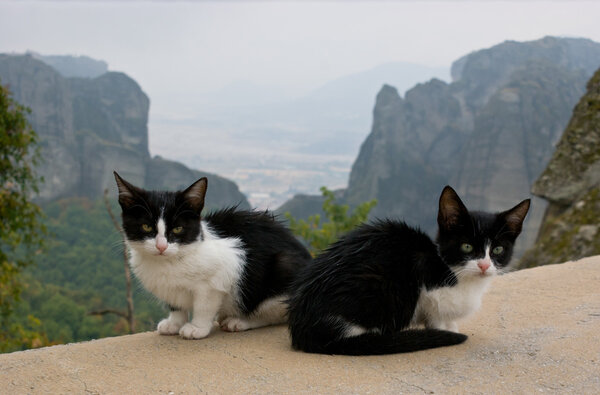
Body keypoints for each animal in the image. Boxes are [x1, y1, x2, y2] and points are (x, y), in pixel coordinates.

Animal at [113, 173, 312, 340]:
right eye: (146, 226)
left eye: (178, 228)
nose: (161, 246)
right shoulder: (170, 289)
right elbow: (176, 303)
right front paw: (174, 323)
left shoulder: (221, 273)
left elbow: (204, 304)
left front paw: (197, 328)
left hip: (284, 267)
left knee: (274, 312)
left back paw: (240, 321)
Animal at [288, 187, 528, 358]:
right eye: (466, 247)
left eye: (497, 250)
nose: (484, 266)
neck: (460, 277)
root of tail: (302, 329)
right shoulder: (426, 284)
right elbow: (436, 315)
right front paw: (444, 331)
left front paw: (452, 327)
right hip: (381, 287)